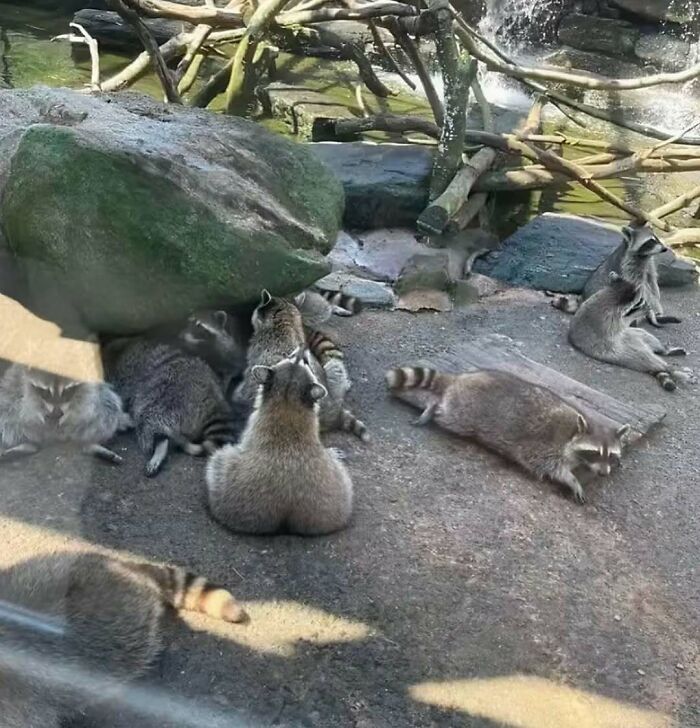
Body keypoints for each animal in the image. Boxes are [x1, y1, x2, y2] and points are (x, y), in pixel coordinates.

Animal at [0, 364, 131, 464]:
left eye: (67, 391)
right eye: (46, 392)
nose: (57, 412)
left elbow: (87, 400)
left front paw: (71, 414)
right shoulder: (20, 382)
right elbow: (24, 398)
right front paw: (37, 413)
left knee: (109, 408)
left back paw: (89, 444)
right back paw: (26, 445)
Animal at [207, 348, 354, 535]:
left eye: (305, 362)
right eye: (291, 357)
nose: (302, 348)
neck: (287, 400)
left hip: (224, 476)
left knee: (217, 461)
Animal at [386, 366, 630, 504]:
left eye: (611, 455)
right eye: (594, 452)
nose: (604, 474)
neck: (574, 431)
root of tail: (462, 379)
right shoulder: (545, 446)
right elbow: (549, 467)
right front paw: (572, 480)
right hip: (465, 412)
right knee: (447, 414)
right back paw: (433, 407)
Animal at [552, 222, 680, 327]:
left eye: (657, 238)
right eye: (650, 242)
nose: (664, 249)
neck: (644, 256)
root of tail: (583, 300)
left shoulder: (649, 264)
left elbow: (652, 281)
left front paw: (657, 299)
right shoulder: (629, 267)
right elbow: (640, 287)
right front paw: (655, 305)